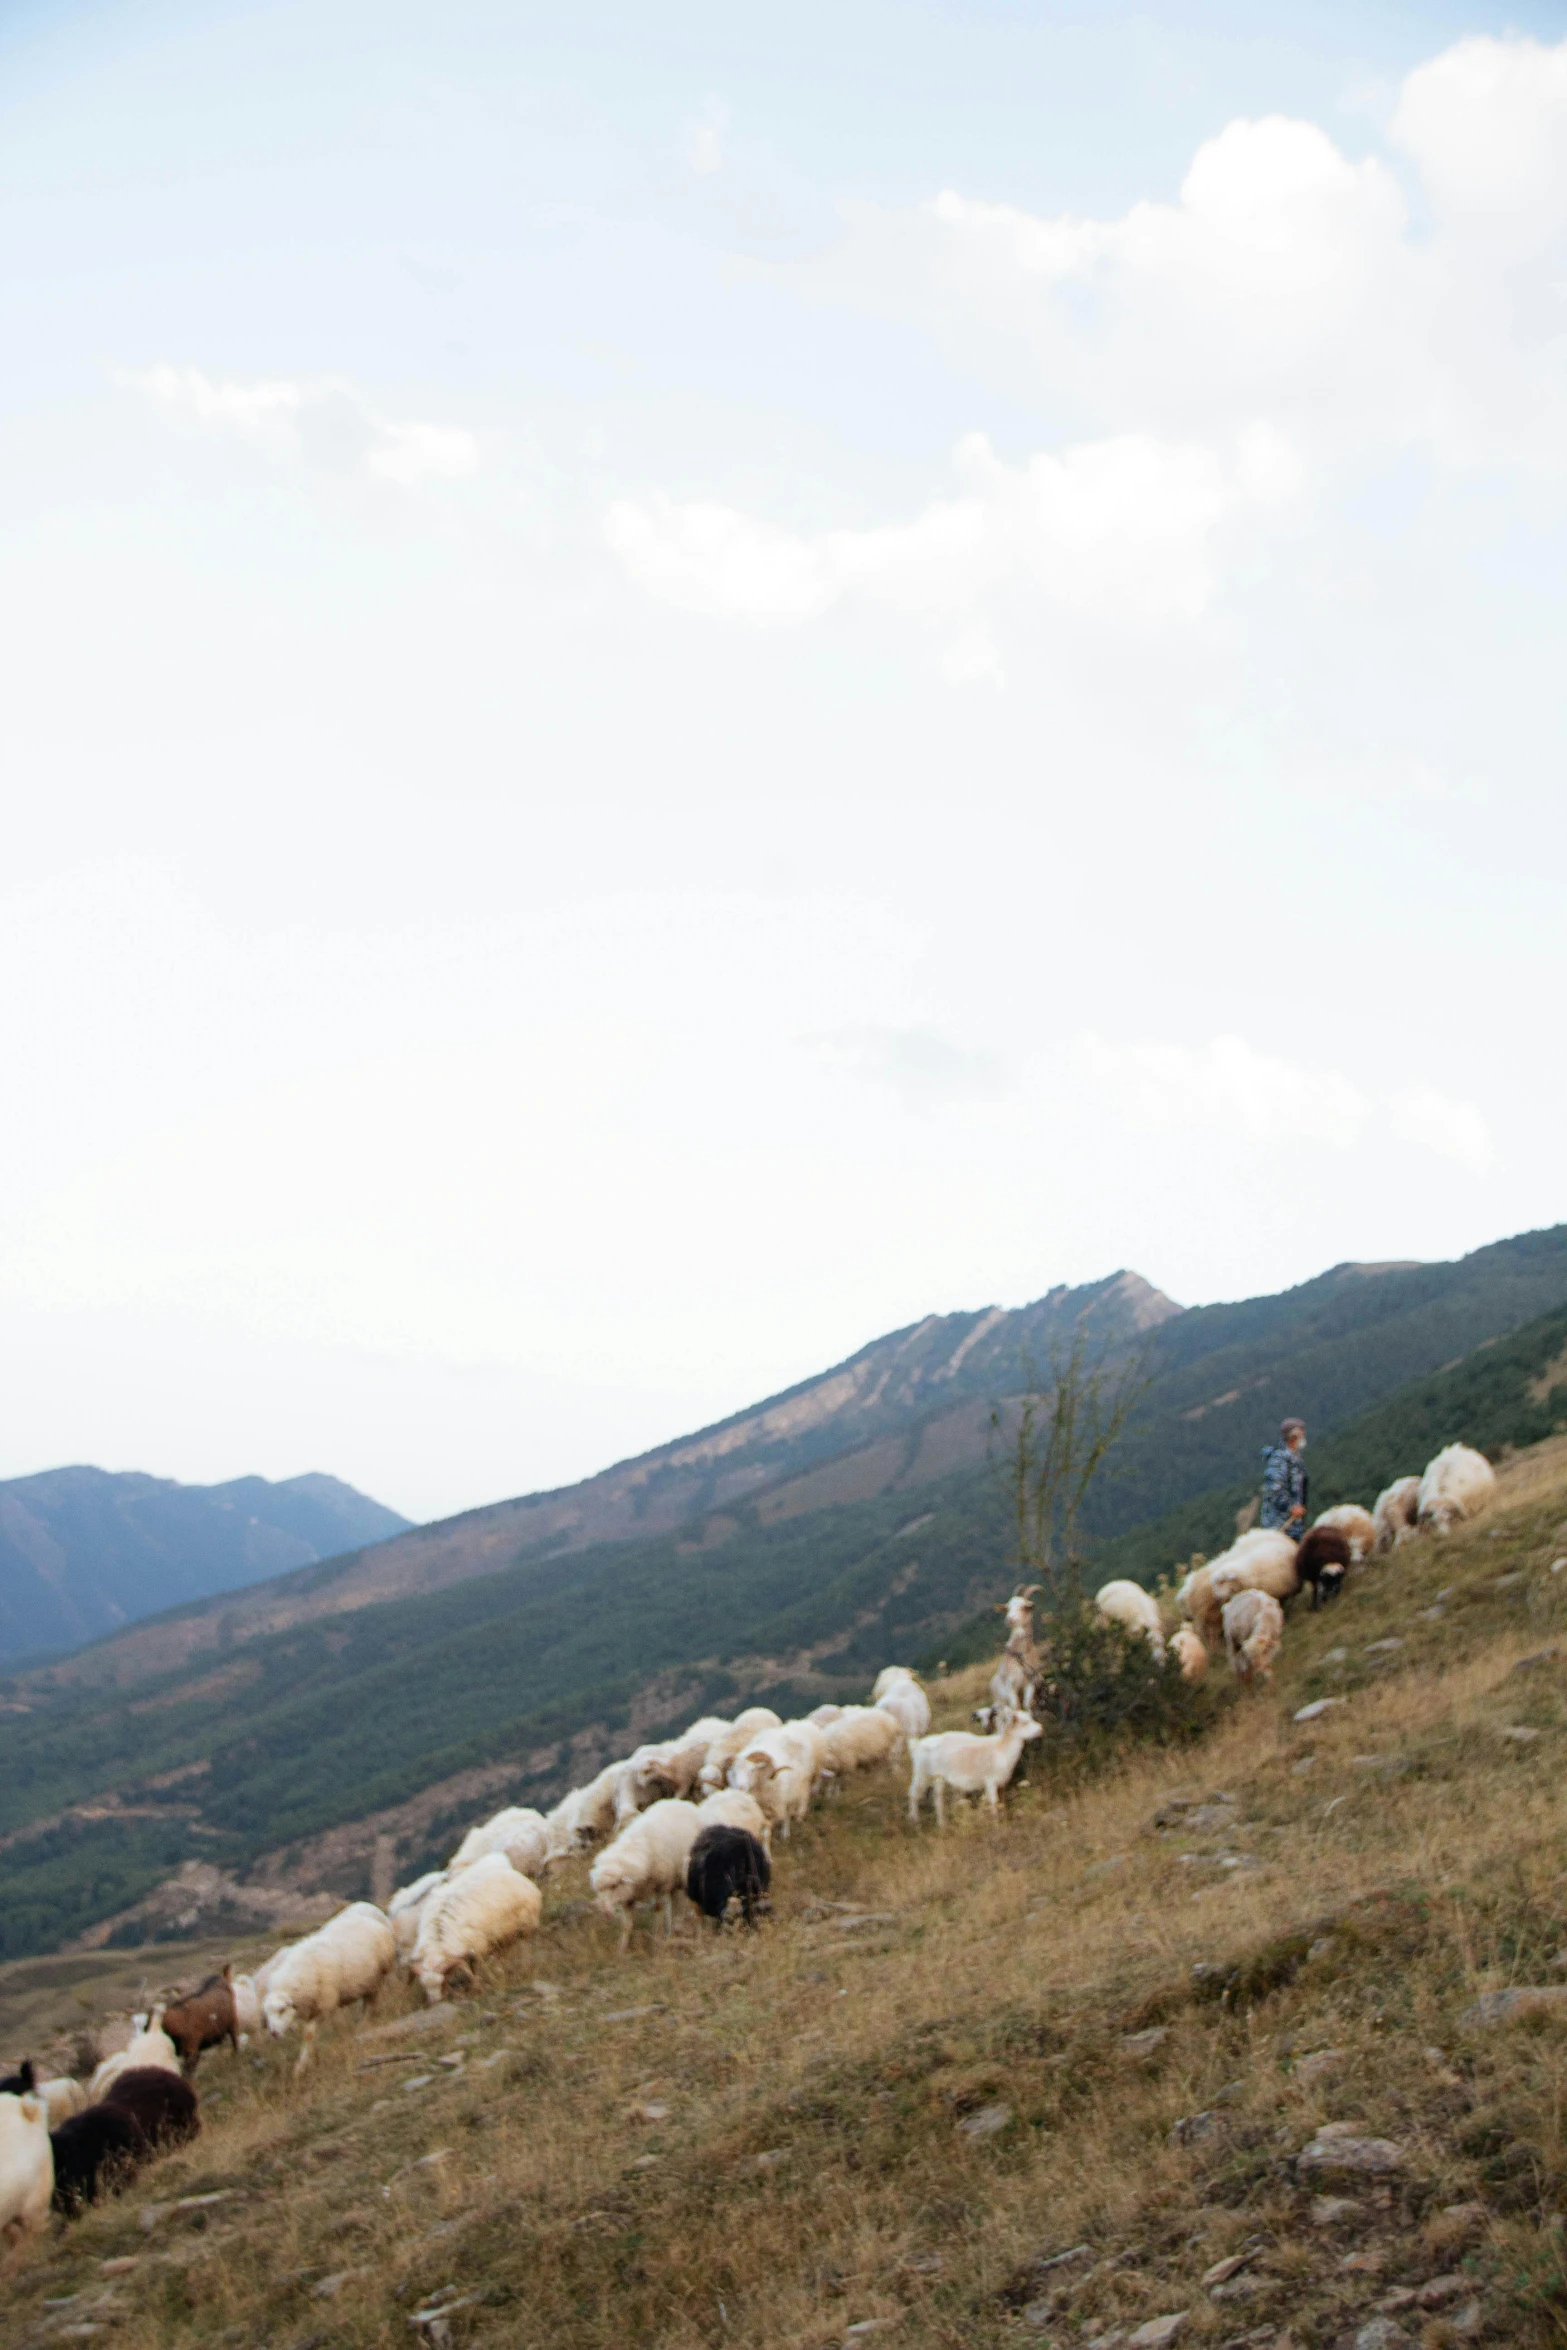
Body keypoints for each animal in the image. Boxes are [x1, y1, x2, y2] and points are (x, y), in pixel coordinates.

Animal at [263, 1889, 399, 2058]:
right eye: (267, 2014)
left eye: (281, 2010)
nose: (274, 2034)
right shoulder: (328, 2003)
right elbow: (334, 2024)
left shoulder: (325, 2004)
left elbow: (309, 2034)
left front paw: (302, 2063)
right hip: (368, 1981)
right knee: (368, 2003)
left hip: (383, 1971)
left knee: (379, 1997)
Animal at [413, 1851, 542, 2002]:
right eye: (424, 1985)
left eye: (442, 1981)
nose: (435, 2001)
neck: (439, 1935)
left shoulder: (478, 1948)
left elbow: (475, 1968)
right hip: (503, 1934)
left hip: (526, 1926)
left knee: (526, 1946)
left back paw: (525, 1968)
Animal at [592, 1795, 709, 1945]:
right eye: (599, 1890)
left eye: (614, 1886)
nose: (605, 1912)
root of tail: (679, 1801)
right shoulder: (628, 1897)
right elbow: (626, 1925)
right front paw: (622, 1948)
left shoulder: (661, 1885)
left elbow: (658, 1908)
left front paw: (656, 1938)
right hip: (675, 1879)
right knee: (675, 1903)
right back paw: (673, 1931)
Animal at [906, 1720, 1043, 1823]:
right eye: (1025, 1723)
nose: (1041, 1729)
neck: (1001, 1748)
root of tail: (917, 1745)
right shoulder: (990, 1780)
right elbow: (994, 1801)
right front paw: (996, 1822)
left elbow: (986, 1800)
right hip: (923, 1774)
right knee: (914, 1795)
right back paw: (915, 1819)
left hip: (936, 1777)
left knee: (936, 1799)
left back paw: (942, 1823)